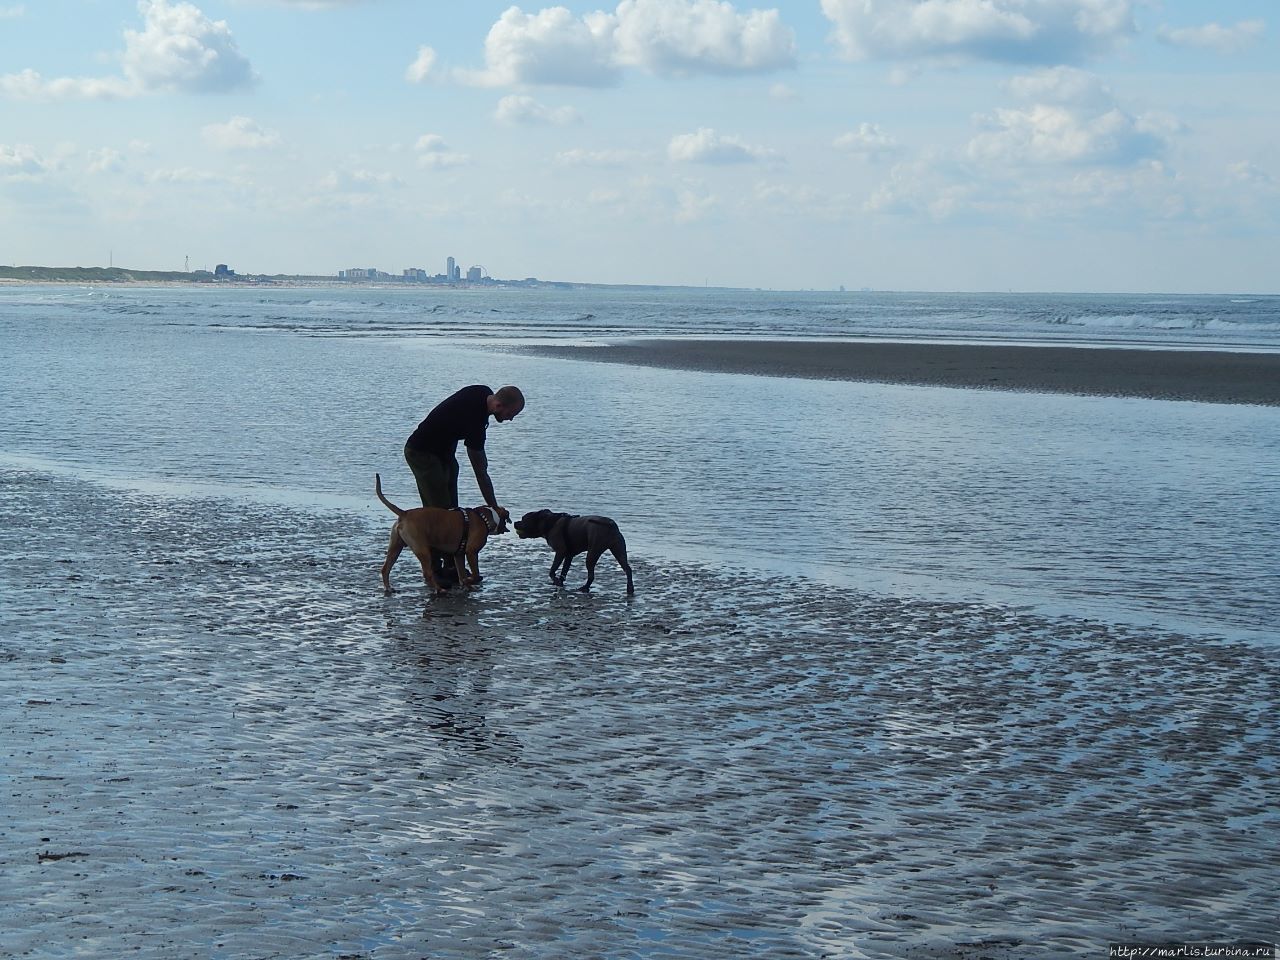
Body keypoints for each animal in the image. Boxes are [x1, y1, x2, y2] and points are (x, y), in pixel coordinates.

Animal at [373, 473, 506, 593]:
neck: (483, 517)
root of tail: (404, 513)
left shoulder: (459, 555)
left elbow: (462, 573)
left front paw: (467, 585)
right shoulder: (471, 552)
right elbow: (476, 574)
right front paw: (471, 581)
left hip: (395, 547)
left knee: (385, 569)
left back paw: (388, 588)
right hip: (423, 550)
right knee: (427, 573)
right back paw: (439, 589)